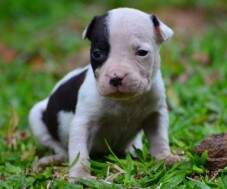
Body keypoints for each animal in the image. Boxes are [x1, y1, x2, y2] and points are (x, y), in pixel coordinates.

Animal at [28, 7, 181, 180]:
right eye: (97, 53)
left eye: (142, 53)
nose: (116, 77)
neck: (125, 101)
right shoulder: (83, 122)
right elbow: (79, 151)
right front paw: (80, 176)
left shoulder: (155, 114)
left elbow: (159, 137)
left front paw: (165, 158)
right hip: (37, 116)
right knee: (55, 144)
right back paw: (55, 158)